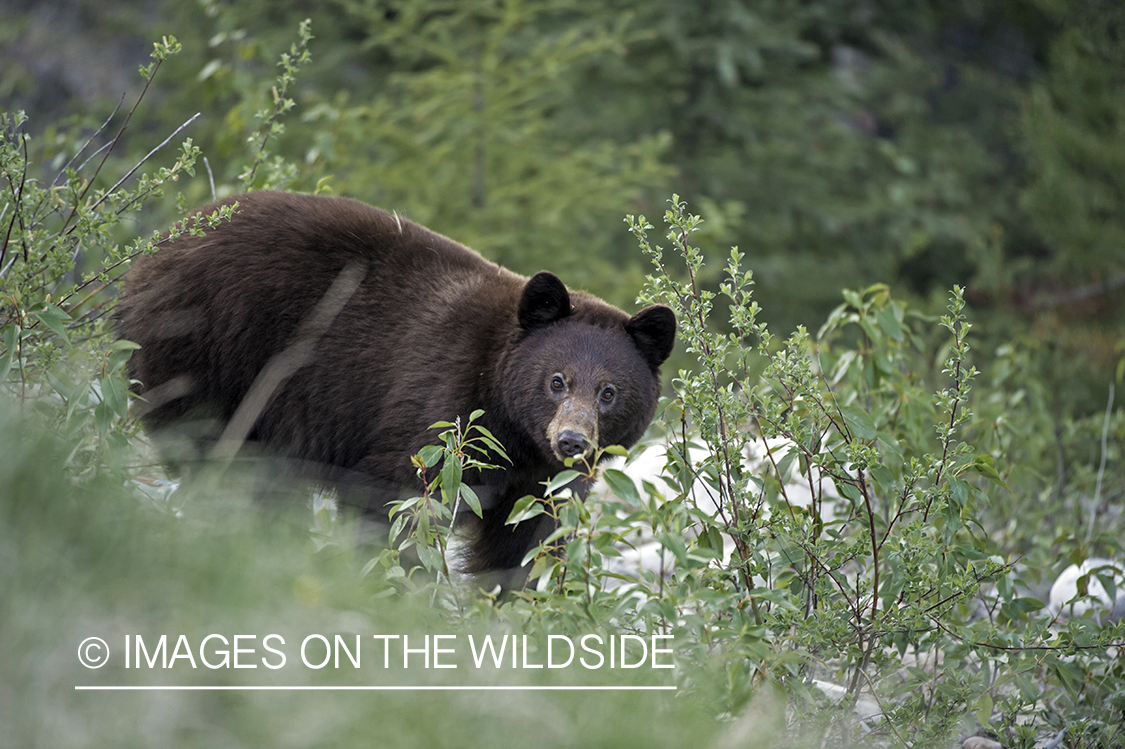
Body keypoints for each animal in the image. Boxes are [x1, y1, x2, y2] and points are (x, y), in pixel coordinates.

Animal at [116, 191, 675, 584]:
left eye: (609, 392)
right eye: (557, 380)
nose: (573, 441)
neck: (509, 425)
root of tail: (155, 248)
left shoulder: (541, 478)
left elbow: (529, 539)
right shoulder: (440, 407)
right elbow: (399, 501)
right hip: (213, 359)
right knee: (223, 465)